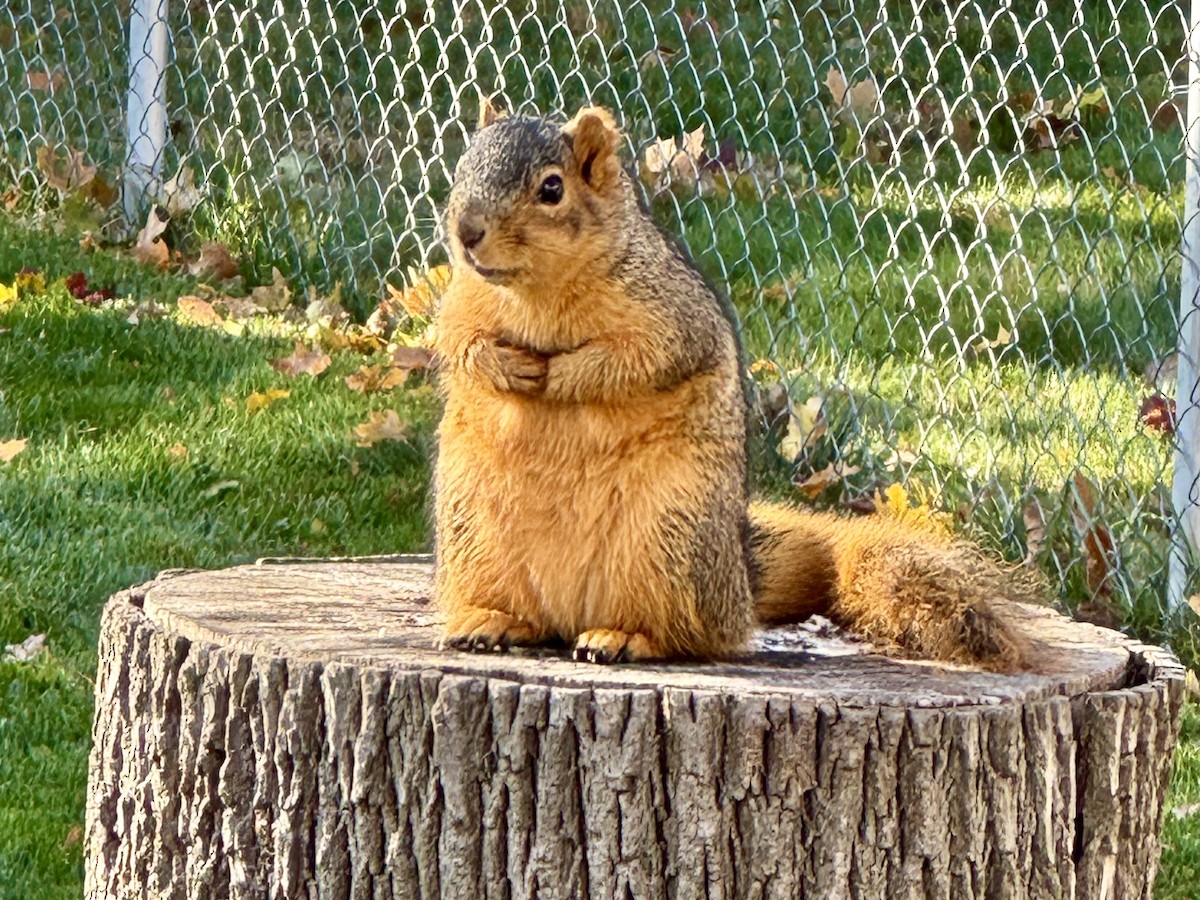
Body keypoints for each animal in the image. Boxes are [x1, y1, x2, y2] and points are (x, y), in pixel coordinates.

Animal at [431, 101, 1040, 670]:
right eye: (461, 166)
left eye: (552, 189)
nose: (466, 233)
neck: (534, 292)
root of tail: (740, 588)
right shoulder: (462, 300)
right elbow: (456, 340)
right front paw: (500, 366)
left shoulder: (670, 315)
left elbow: (641, 359)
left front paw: (562, 374)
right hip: (474, 534)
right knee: (530, 615)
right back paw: (492, 621)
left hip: (671, 542)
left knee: (692, 636)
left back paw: (623, 637)